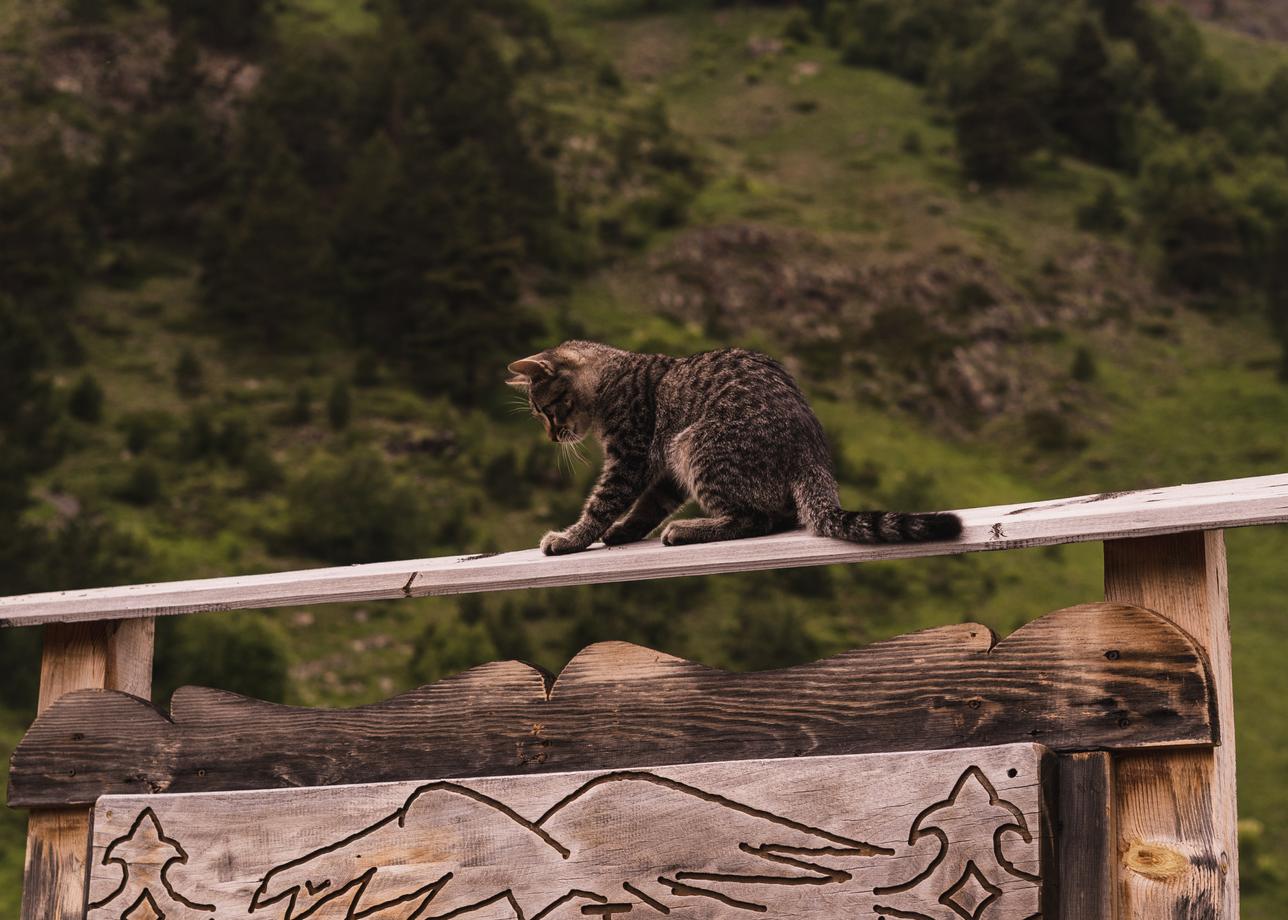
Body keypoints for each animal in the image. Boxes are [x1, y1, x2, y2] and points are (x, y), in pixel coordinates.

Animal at [507, 337, 963, 551]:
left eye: (546, 411)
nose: (551, 436)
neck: (610, 379)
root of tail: (811, 455)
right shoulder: (666, 470)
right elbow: (648, 507)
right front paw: (624, 531)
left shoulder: (630, 458)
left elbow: (601, 505)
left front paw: (571, 538)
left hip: (698, 444)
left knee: (755, 519)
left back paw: (689, 529)